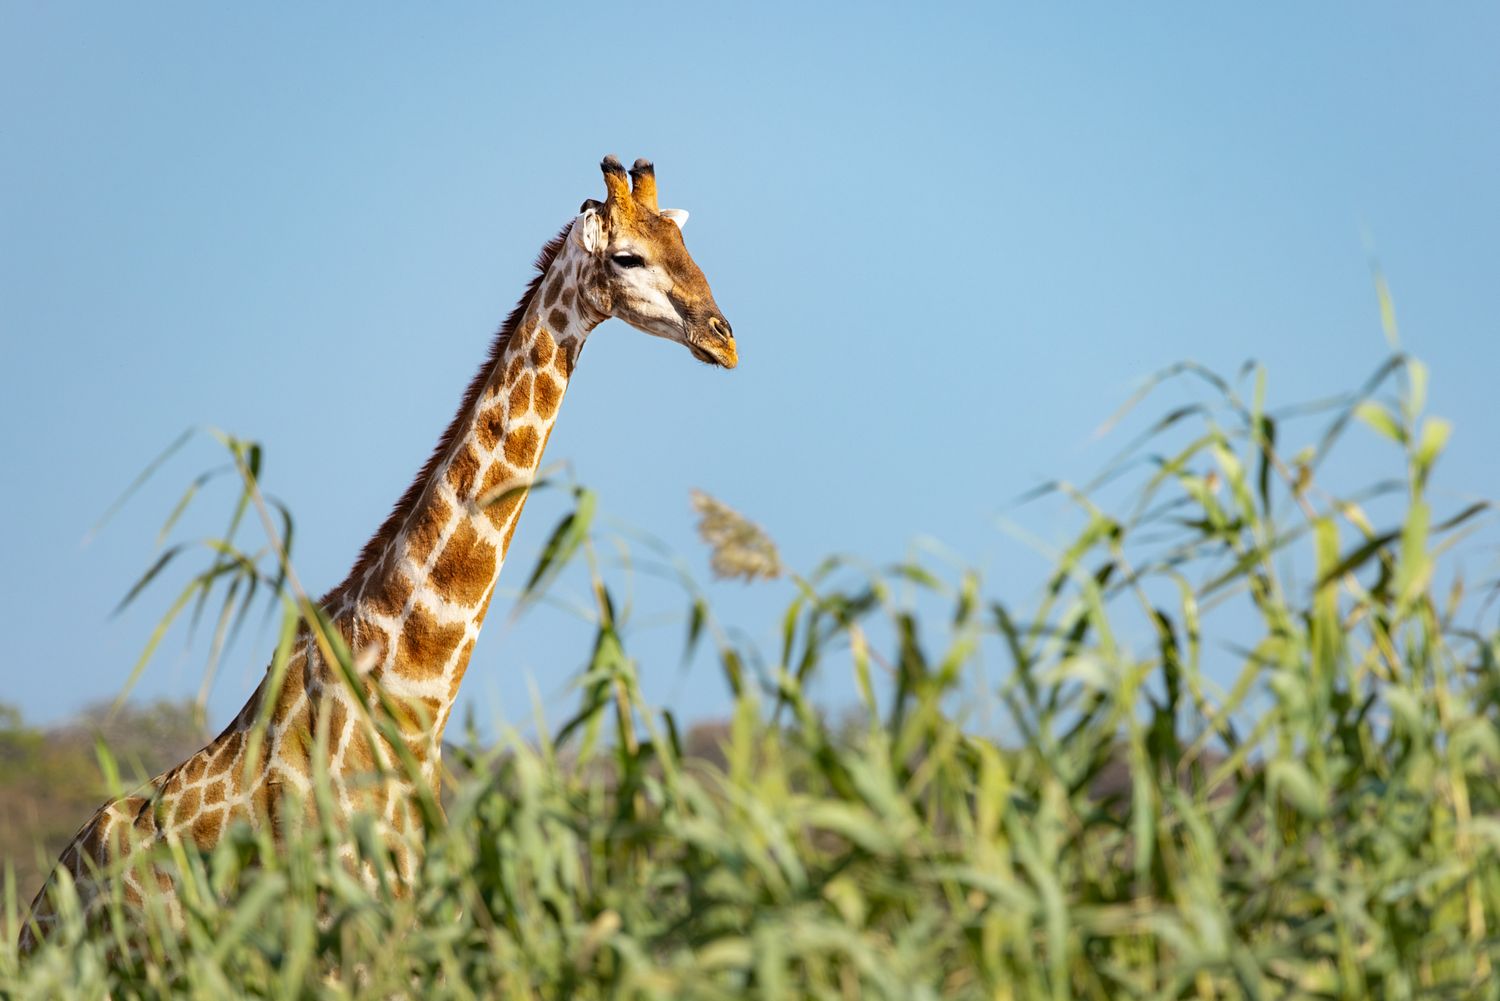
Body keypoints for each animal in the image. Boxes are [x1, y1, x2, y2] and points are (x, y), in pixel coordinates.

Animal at [19, 155, 736, 952]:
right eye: (627, 257)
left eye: (685, 245)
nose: (724, 338)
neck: (412, 701)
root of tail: (47, 895)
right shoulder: (343, 935)